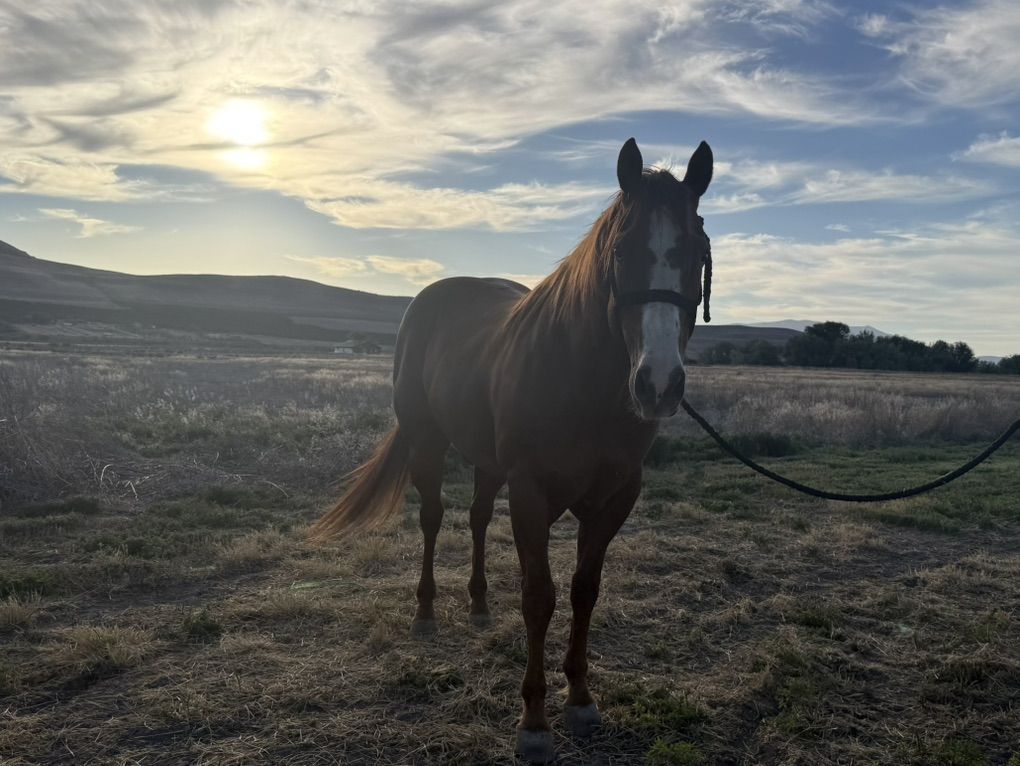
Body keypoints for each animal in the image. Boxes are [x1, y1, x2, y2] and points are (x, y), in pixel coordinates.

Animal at [310, 137, 714, 764]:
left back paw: (477, 604)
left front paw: (580, 699)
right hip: (430, 444)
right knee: (434, 519)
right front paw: (535, 721)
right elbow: (538, 597)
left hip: (488, 463)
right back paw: (426, 612)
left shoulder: (614, 499)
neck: (583, 381)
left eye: (697, 250)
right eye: (622, 251)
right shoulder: (530, 493)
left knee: (477, 518)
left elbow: (583, 592)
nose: (659, 384)